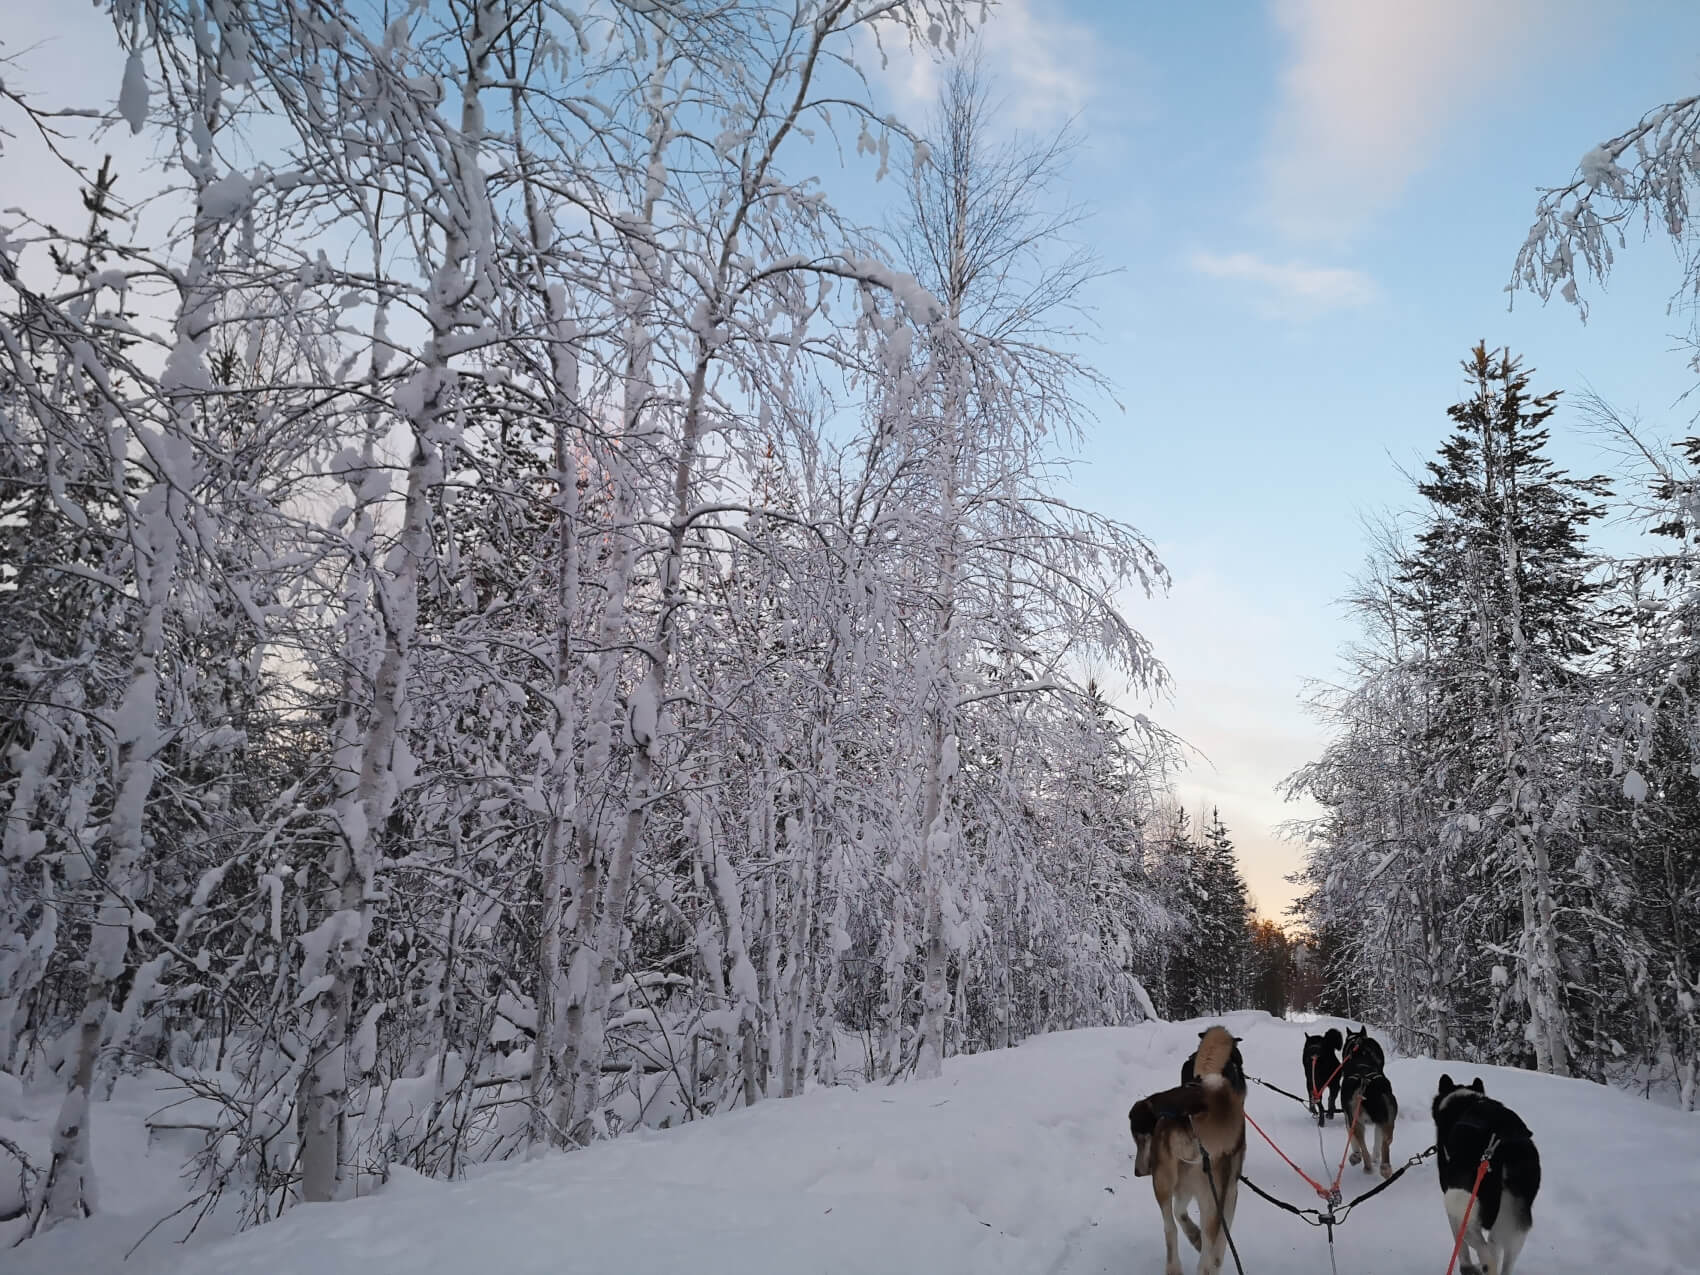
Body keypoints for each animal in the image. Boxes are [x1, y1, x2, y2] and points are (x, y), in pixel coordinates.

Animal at [1128, 1026, 1251, 1275]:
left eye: (1140, 1139)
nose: (1137, 1172)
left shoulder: (1186, 1187)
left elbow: (1179, 1215)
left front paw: (1194, 1237)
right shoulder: (1226, 1192)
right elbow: (1219, 1241)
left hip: (1167, 1183)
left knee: (1170, 1226)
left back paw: (1177, 1262)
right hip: (1211, 1193)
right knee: (1208, 1247)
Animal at [1339, 1026, 1394, 1176]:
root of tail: (1363, 1083)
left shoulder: (1348, 1118)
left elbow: (1354, 1141)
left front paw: (1356, 1155)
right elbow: (1377, 1140)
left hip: (1358, 1120)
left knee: (1364, 1147)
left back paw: (1367, 1165)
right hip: (1387, 1118)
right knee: (1385, 1143)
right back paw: (1383, 1167)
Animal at [1434, 1081, 1543, 1275]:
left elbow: (1461, 1245)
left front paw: (1467, 1266)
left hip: (1458, 1200)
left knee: (1479, 1244)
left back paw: (1485, 1264)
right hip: (1515, 1218)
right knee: (1501, 1253)